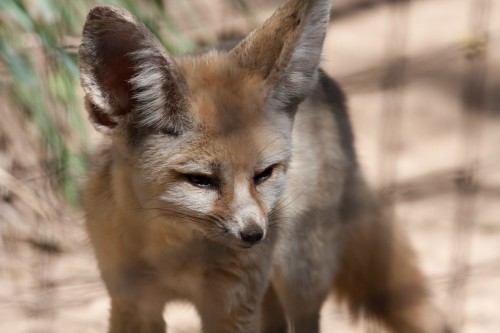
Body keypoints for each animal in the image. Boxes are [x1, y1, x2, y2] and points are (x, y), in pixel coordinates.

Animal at [79, 0, 454, 332]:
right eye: (200, 180)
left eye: (264, 174)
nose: (254, 234)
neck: (175, 256)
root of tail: (324, 83)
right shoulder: (132, 301)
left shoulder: (232, 306)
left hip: (300, 278)